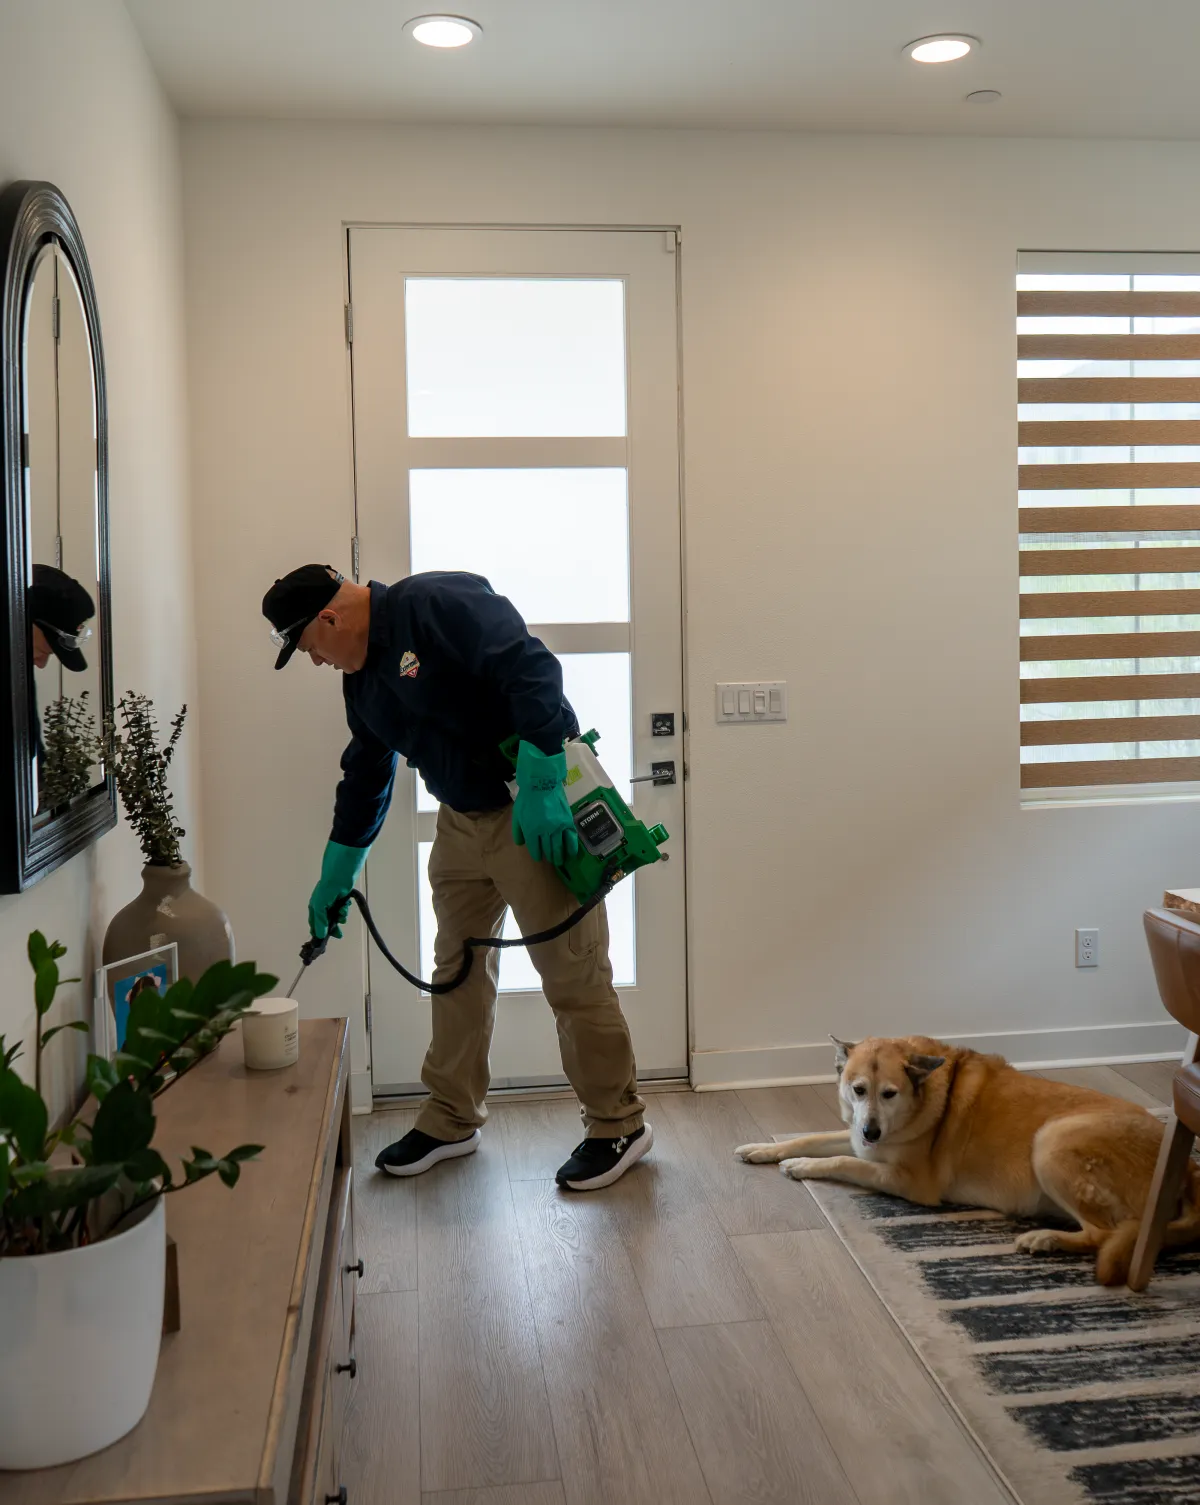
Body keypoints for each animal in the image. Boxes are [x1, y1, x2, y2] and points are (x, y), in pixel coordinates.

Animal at [734, 1034, 1200, 1285]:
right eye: (858, 1089)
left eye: (890, 1093)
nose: (871, 1132)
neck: (917, 1105)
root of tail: (1187, 1168)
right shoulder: (859, 1140)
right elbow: (811, 1138)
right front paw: (762, 1149)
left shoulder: (907, 1180)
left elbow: (844, 1164)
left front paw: (802, 1167)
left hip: (1050, 1141)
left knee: (1106, 1233)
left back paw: (1045, 1239)